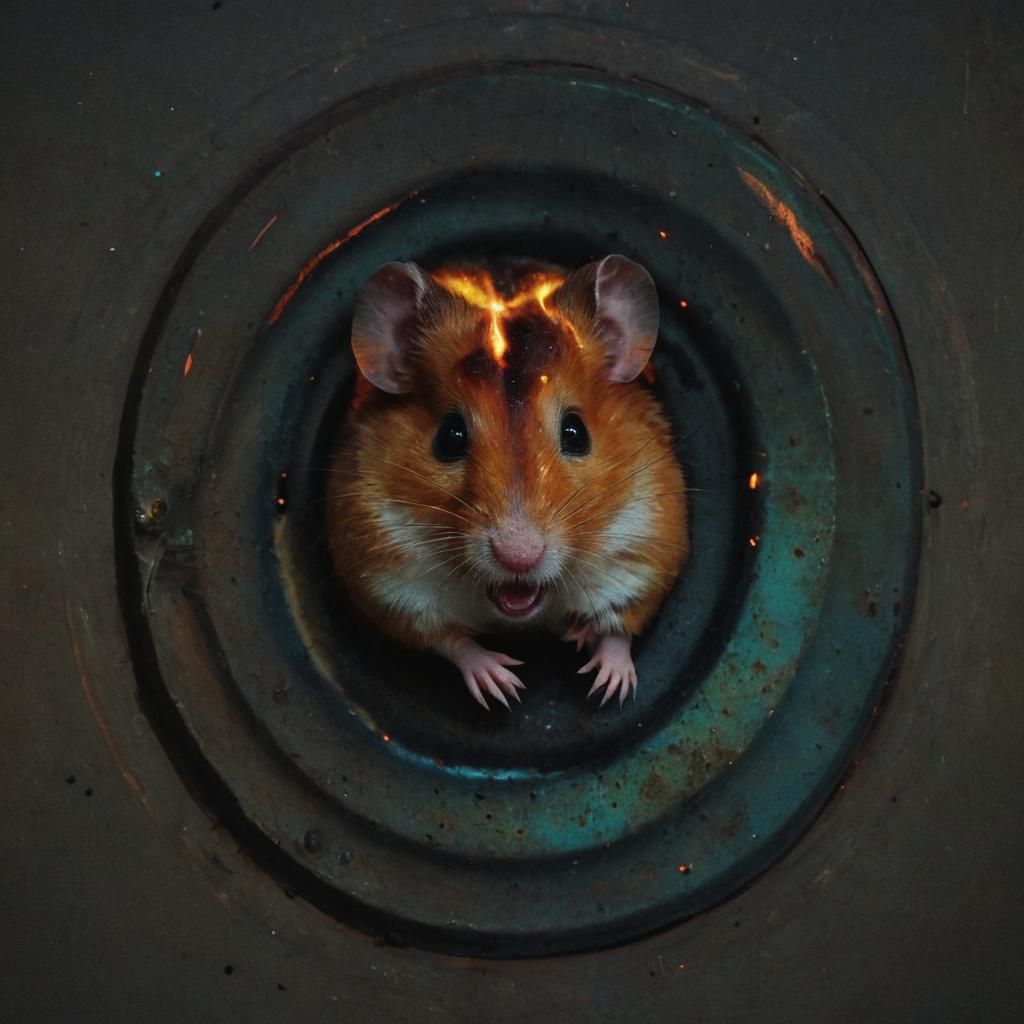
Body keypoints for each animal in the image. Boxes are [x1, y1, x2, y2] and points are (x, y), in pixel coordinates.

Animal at [326, 254, 689, 709]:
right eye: (449, 437)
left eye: (576, 433)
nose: (519, 557)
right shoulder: (388, 583)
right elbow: (451, 641)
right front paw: (504, 687)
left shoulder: (644, 552)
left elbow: (618, 628)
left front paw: (606, 684)